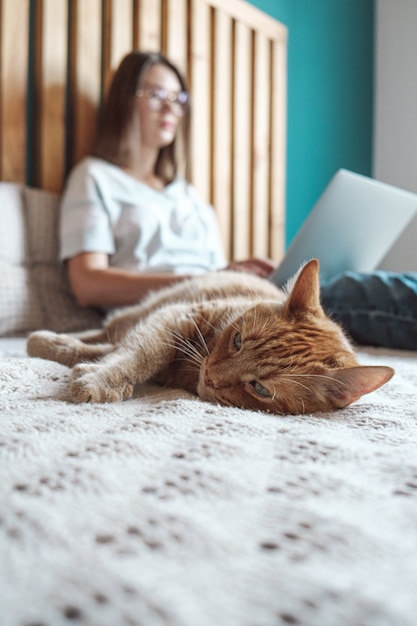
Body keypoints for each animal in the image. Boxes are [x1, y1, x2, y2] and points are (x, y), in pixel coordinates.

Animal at [27, 258, 392, 414]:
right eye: (237, 340)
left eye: (260, 388)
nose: (211, 377)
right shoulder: (173, 318)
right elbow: (139, 353)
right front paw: (101, 377)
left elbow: (118, 351)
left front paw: (91, 369)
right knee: (107, 331)